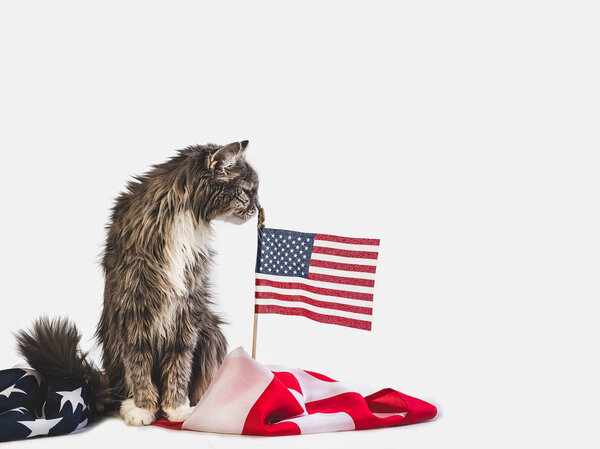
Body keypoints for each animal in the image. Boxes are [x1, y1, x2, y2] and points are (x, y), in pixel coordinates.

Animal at [15, 142, 258, 426]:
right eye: (247, 191)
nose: (257, 209)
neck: (185, 217)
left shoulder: (187, 309)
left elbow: (180, 364)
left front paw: (176, 408)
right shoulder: (134, 307)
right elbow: (138, 365)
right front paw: (144, 408)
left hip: (211, 333)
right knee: (121, 385)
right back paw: (129, 405)